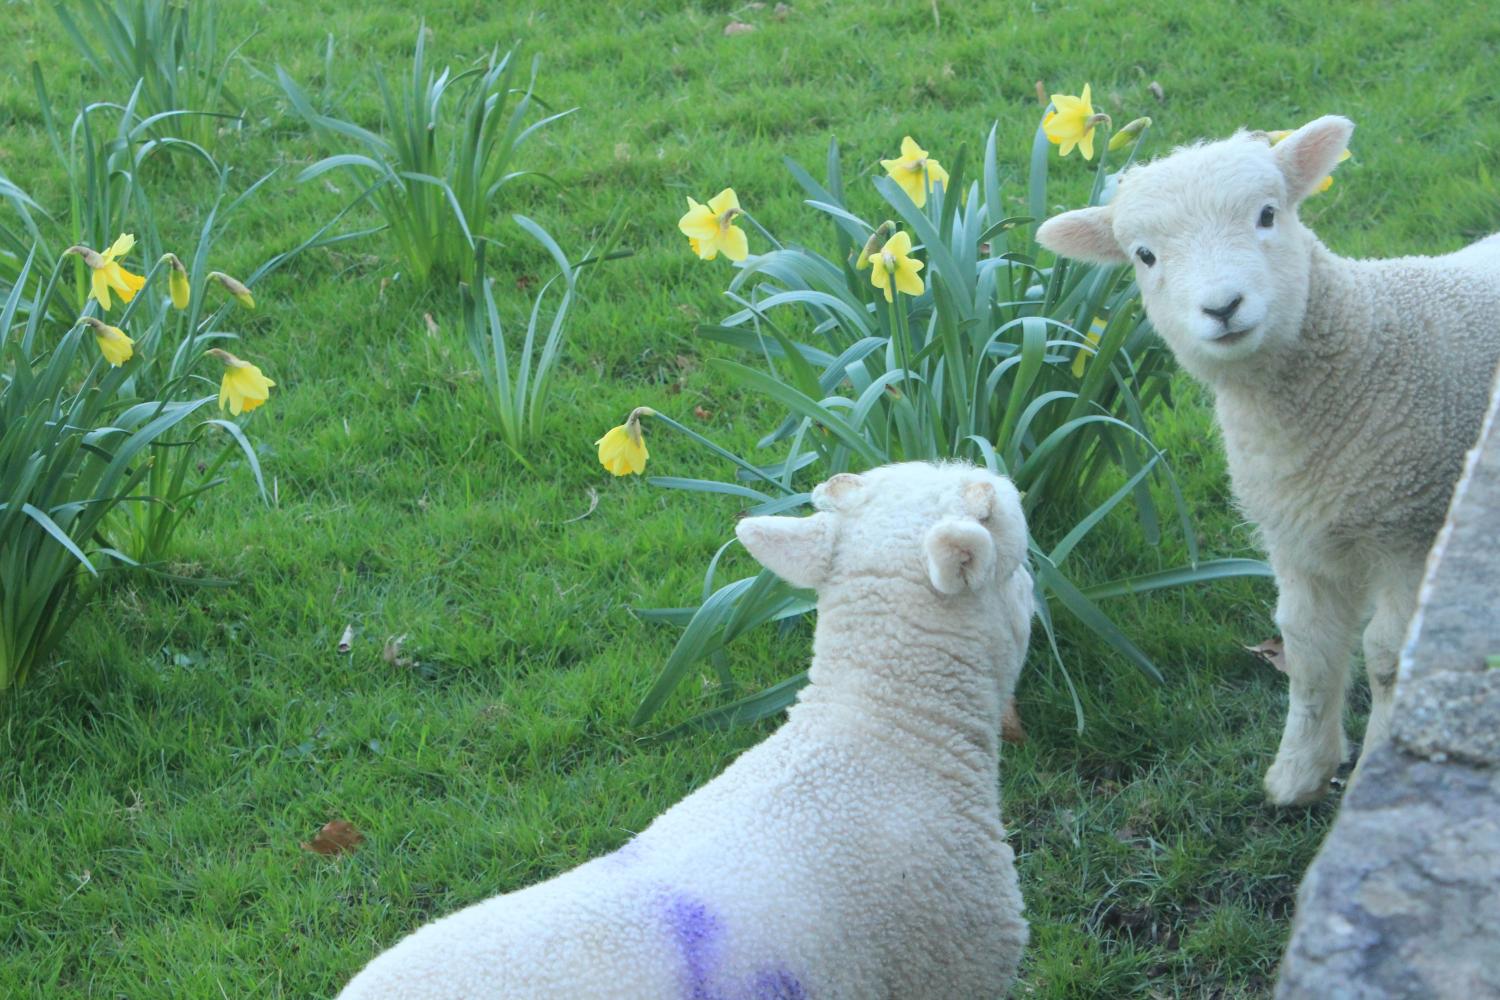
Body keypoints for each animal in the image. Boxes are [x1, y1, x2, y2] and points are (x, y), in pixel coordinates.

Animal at [1038, 115, 1500, 803]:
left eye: (1267, 215)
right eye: (1145, 256)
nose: (1222, 307)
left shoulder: (1415, 528)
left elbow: (1388, 656)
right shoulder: (1298, 537)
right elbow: (1307, 649)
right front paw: (1299, 773)